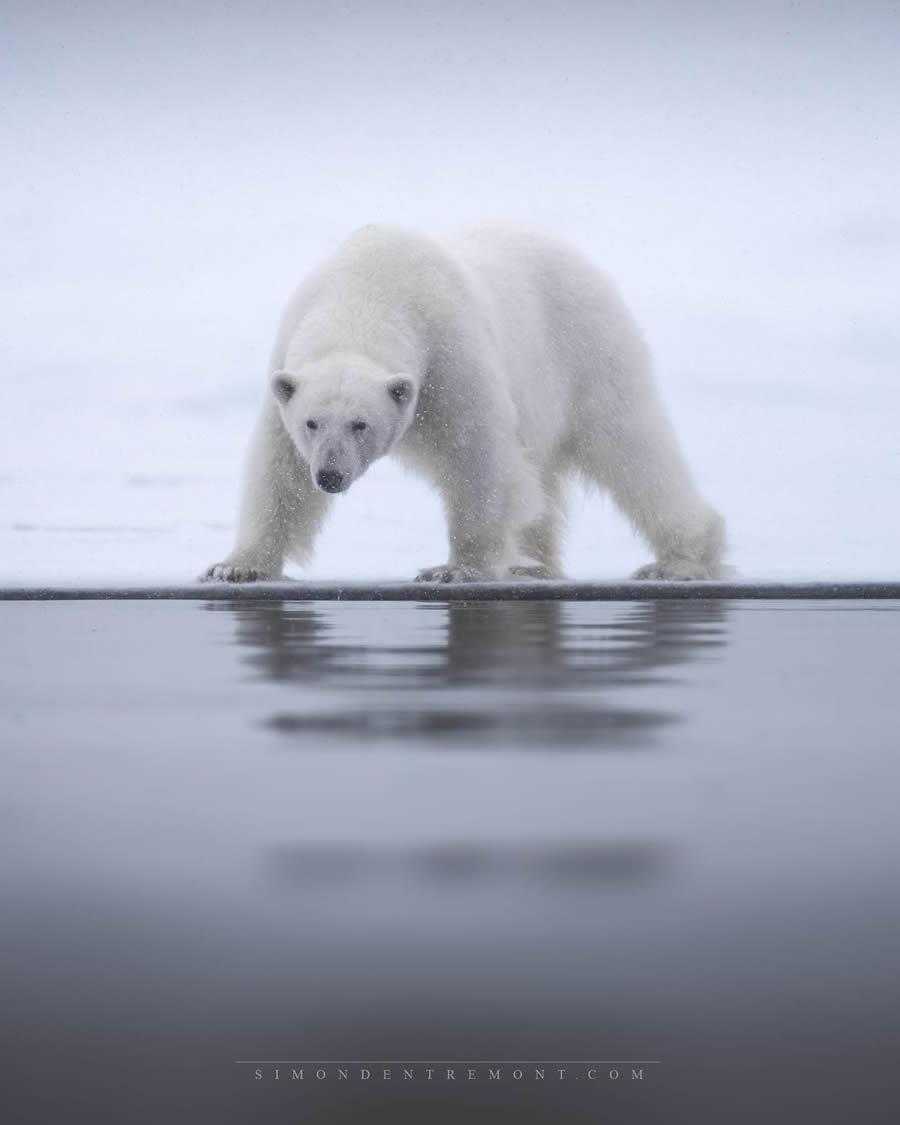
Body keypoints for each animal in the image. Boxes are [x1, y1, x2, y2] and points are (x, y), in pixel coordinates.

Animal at [202, 225, 724, 585]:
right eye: (312, 423)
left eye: (360, 424)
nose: (330, 475)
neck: (367, 289)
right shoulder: (288, 363)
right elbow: (280, 472)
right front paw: (235, 567)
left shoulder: (448, 352)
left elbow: (478, 454)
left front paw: (454, 569)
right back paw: (532, 564)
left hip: (588, 349)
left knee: (632, 450)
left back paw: (679, 562)